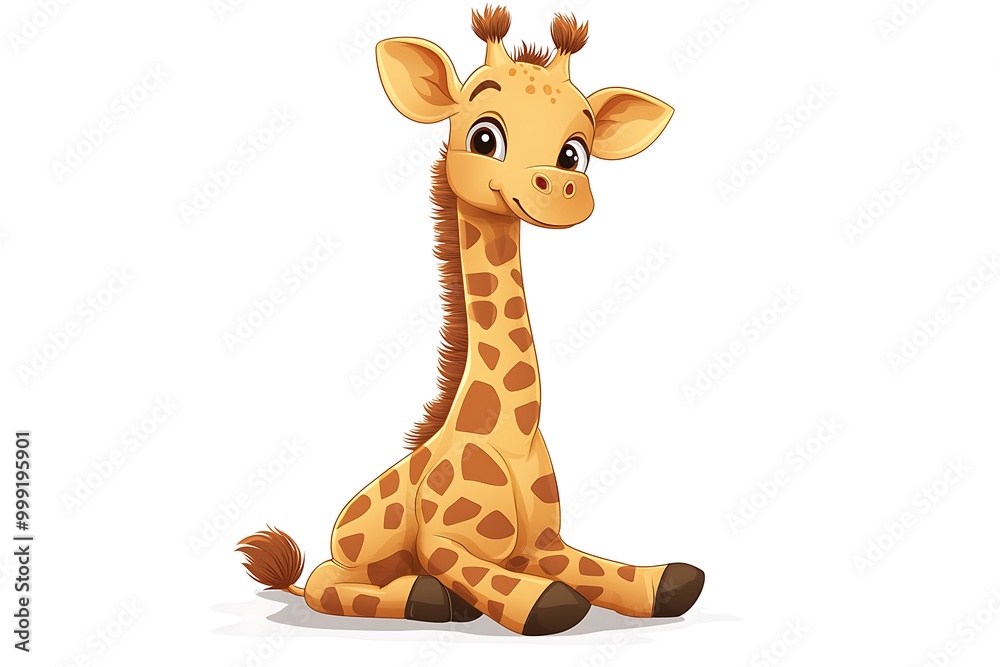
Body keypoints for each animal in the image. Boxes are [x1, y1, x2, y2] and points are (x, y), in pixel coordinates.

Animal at [237, 6, 704, 636]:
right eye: (485, 137)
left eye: (575, 151)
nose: (561, 187)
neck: (509, 433)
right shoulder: (444, 543)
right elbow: (544, 601)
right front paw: (529, 601)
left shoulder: (546, 543)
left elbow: (617, 575)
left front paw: (667, 579)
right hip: (355, 551)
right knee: (324, 584)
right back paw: (431, 599)